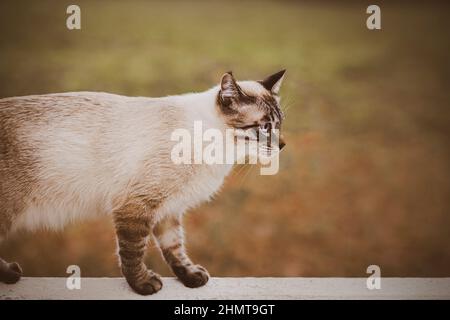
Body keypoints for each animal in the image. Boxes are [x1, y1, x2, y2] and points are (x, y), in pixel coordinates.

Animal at [0, 70, 286, 296]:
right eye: (264, 127)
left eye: (279, 125)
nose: (282, 145)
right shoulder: (135, 207)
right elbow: (133, 253)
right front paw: (142, 285)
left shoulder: (169, 209)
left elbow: (175, 248)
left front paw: (191, 276)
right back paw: (10, 275)